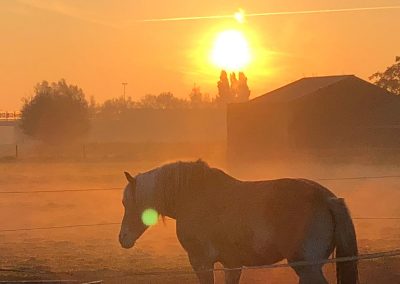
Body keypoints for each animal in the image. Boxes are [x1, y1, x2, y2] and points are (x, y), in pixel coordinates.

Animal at [119, 161, 360, 282]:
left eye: (127, 202)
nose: (123, 238)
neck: (193, 197)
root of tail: (328, 199)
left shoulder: (201, 263)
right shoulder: (231, 264)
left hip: (306, 267)